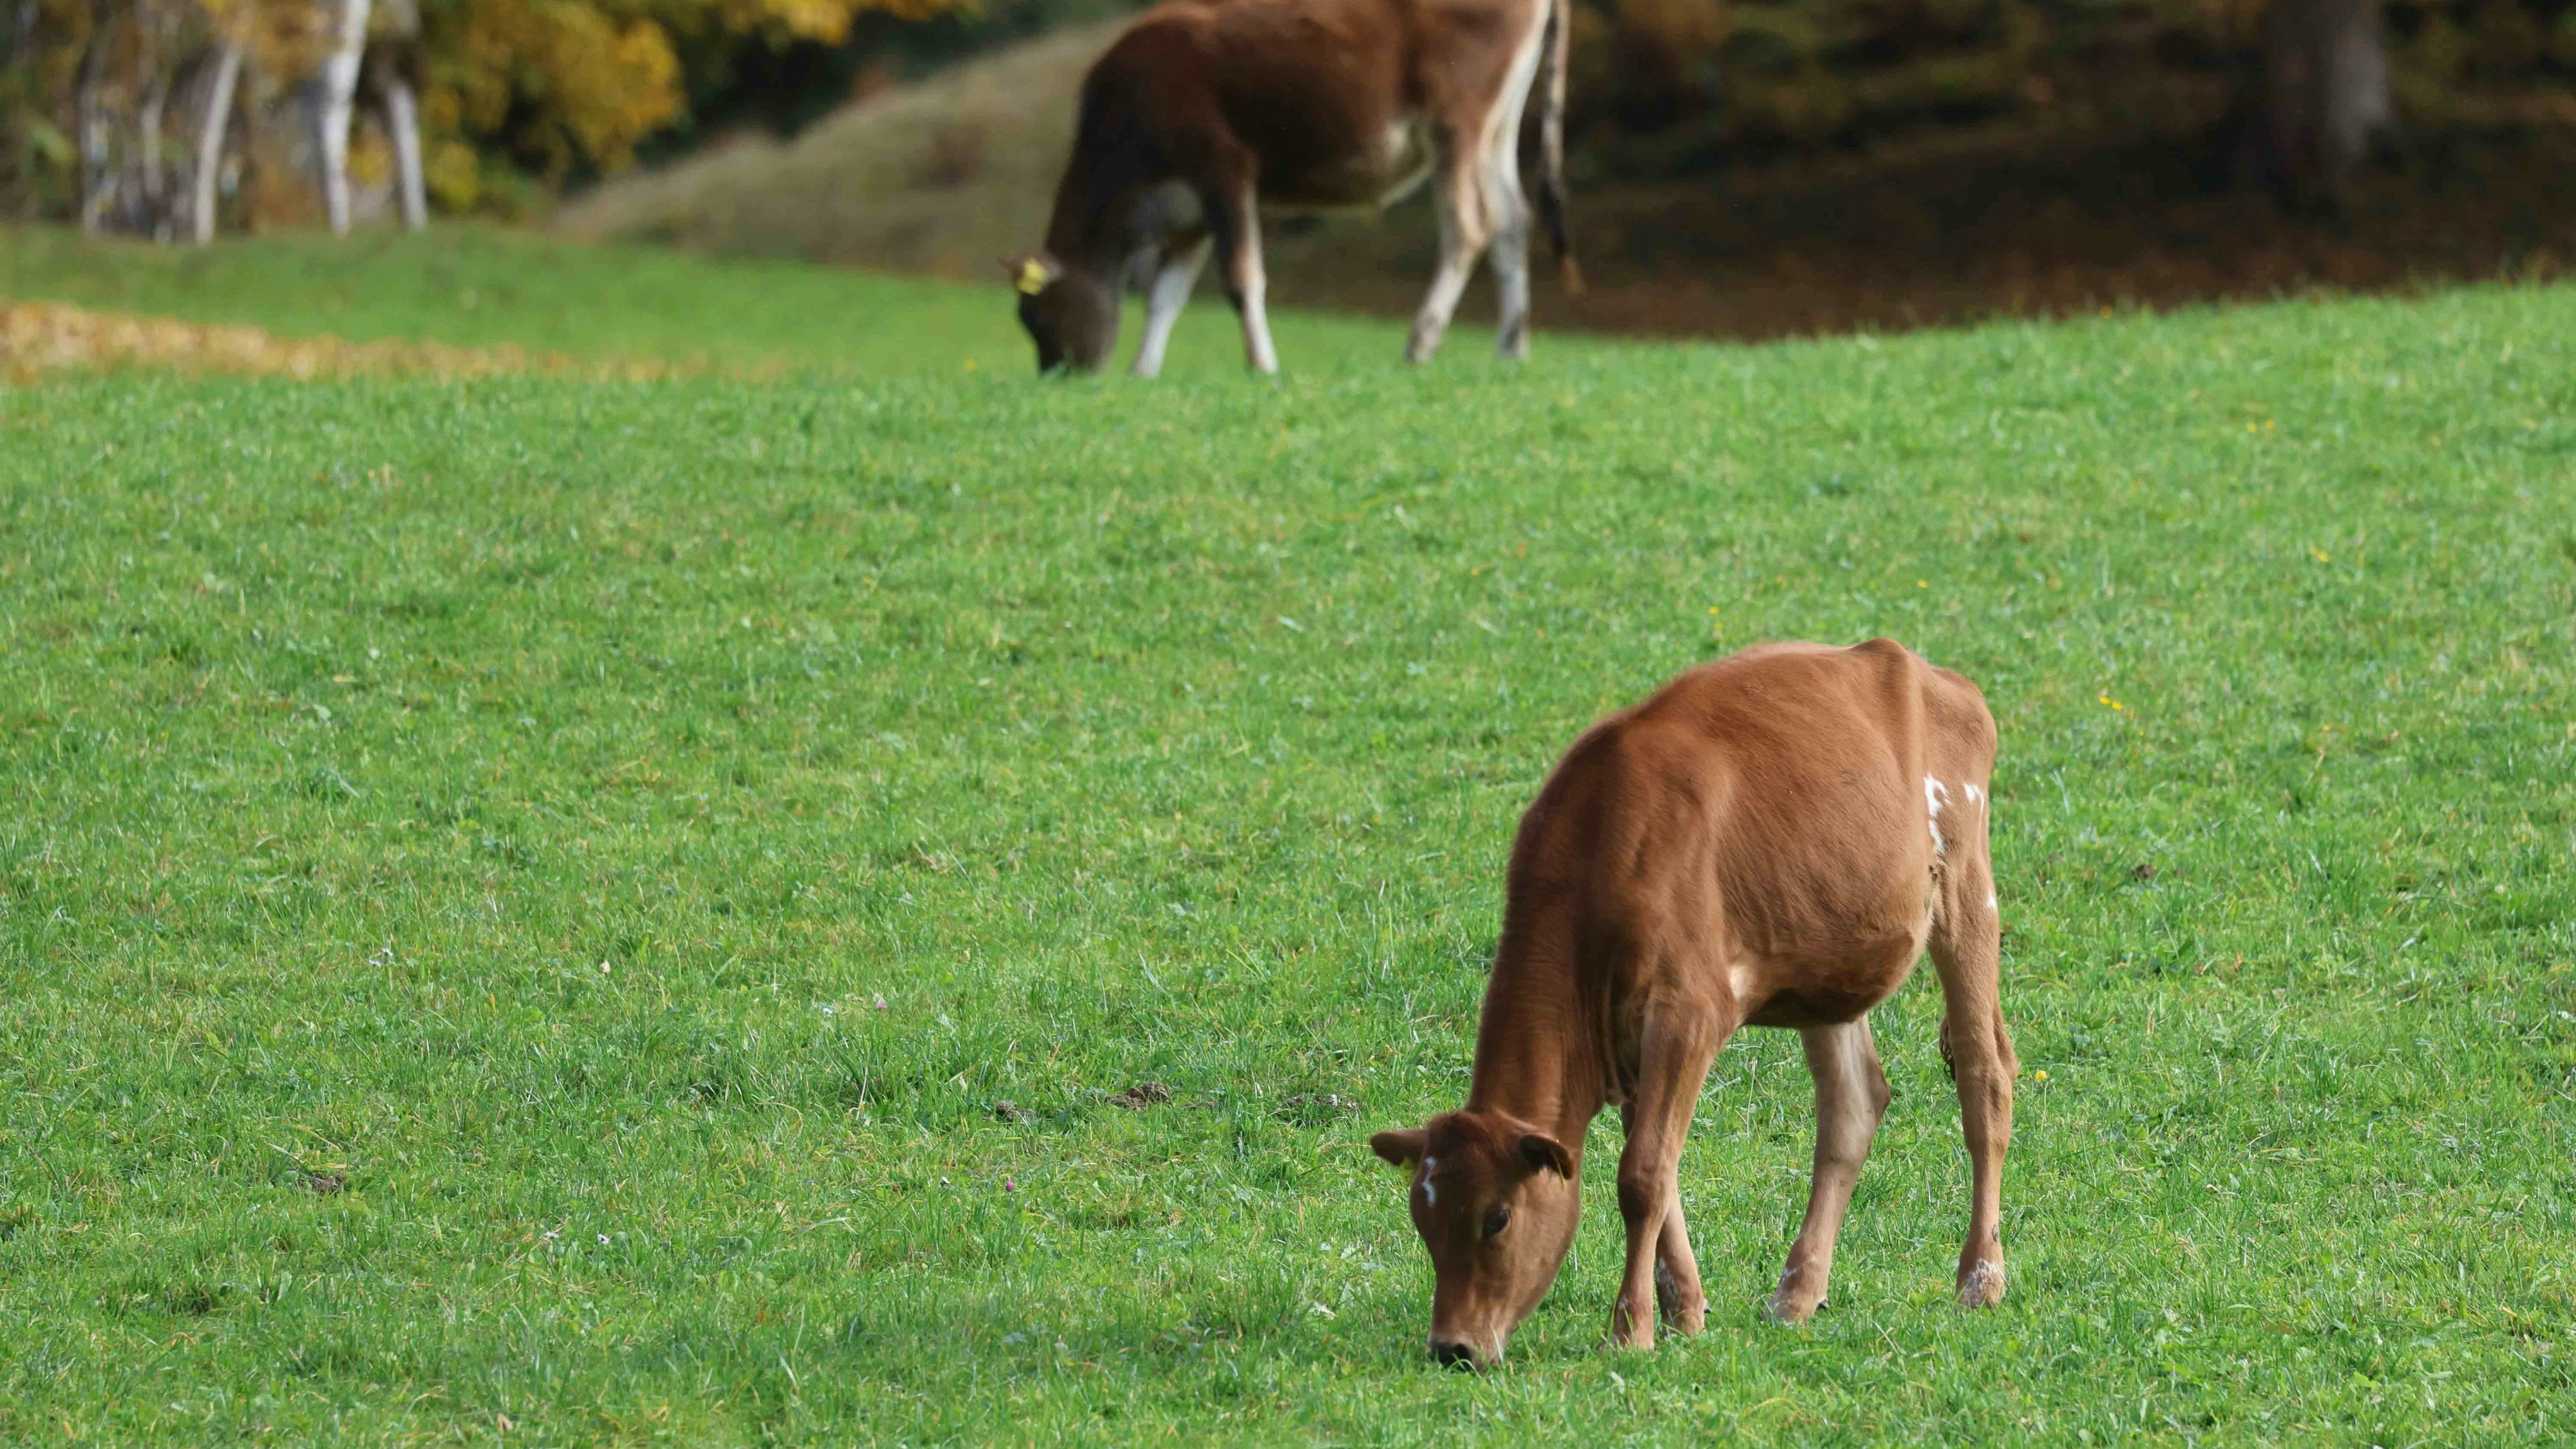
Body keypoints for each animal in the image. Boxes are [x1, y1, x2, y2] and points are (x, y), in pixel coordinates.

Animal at [999, 0, 1566, 374]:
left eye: (1037, 319)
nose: (1058, 376)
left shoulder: (1224, 165)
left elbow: (1240, 278)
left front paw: (1263, 365)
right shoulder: (1188, 211)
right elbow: (1166, 296)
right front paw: (1144, 370)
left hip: (1455, 118)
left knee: (1469, 227)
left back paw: (1421, 342)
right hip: (1498, 127)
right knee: (1513, 221)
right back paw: (1510, 348)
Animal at [1370, 639, 2009, 1361]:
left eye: (1497, 1218)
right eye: (1422, 1223)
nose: (1451, 1346)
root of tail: (1927, 671)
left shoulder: (1689, 1011)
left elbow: (1643, 1174)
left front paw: (1631, 1329)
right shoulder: (1628, 1038)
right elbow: (1661, 1165)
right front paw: (1684, 1311)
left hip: (1966, 887)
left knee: (1984, 1080)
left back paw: (1980, 1280)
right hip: (1826, 957)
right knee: (1853, 1106)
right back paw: (1797, 1293)